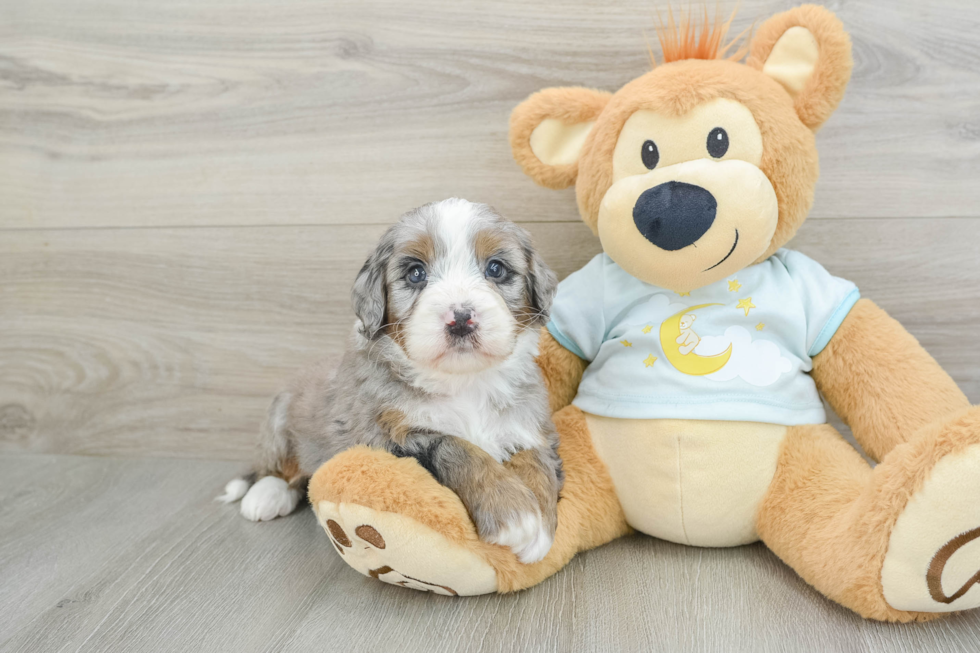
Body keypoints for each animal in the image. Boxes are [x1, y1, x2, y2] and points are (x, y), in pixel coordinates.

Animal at [218, 197, 564, 560]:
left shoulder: (530, 425)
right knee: (277, 469)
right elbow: (454, 444)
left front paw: (540, 527)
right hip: (279, 419)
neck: (464, 383)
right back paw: (265, 495)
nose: (460, 319)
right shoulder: (383, 439)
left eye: (496, 269)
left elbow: (538, 461)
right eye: (416, 273)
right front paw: (512, 511)